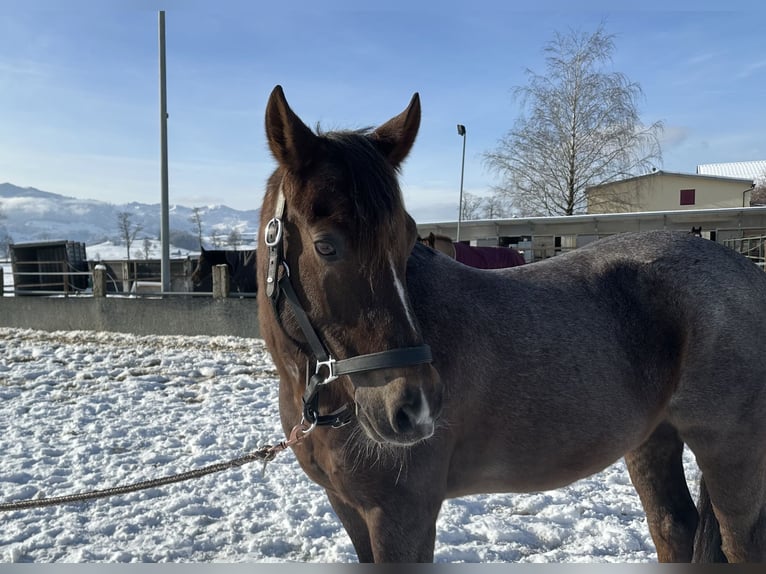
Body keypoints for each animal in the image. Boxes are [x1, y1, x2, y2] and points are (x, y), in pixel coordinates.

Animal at [256, 85, 766, 564]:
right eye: (325, 245)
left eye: (407, 238)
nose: (414, 407)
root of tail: (746, 271)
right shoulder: (349, 508)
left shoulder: (402, 515)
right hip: (652, 441)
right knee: (673, 529)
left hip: (731, 455)